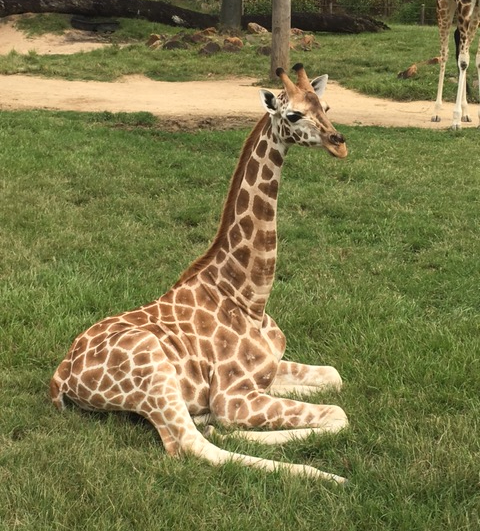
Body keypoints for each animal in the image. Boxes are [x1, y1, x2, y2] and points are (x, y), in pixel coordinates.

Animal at [50, 64, 348, 484]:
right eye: (293, 115)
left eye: (325, 106)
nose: (339, 143)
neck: (250, 296)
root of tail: (62, 374)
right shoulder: (234, 397)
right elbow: (338, 413)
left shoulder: (267, 374)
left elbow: (334, 379)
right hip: (153, 370)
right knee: (190, 446)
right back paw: (325, 476)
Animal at [432, 0, 480, 128]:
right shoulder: (464, 3)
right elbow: (463, 62)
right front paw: (456, 120)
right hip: (443, 7)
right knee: (444, 54)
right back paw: (436, 111)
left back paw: (466, 113)